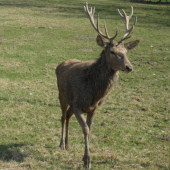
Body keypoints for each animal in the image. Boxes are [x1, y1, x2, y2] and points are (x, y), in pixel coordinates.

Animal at [55, 1, 139, 169]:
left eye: (126, 51)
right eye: (112, 52)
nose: (129, 67)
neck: (94, 93)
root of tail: (60, 65)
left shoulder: (93, 108)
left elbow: (90, 129)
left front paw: (84, 158)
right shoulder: (77, 103)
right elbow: (86, 130)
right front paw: (87, 160)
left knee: (67, 117)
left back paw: (67, 144)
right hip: (62, 95)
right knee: (62, 117)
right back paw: (61, 144)